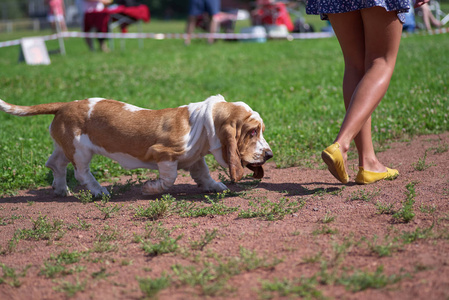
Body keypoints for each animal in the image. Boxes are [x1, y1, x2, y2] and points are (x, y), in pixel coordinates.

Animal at [0, 94, 272, 197]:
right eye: (252, 131)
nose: (269, 154)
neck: (203, 124)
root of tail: (65, 104)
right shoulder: (164, 155)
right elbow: (169, 179)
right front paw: (150, 188)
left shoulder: (195, 157)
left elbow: (203, 174)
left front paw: (215, 186)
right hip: (81, 151)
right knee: (81, 173)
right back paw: (99, 191)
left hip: (65, 146)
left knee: (55, 163)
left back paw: (60, 190)